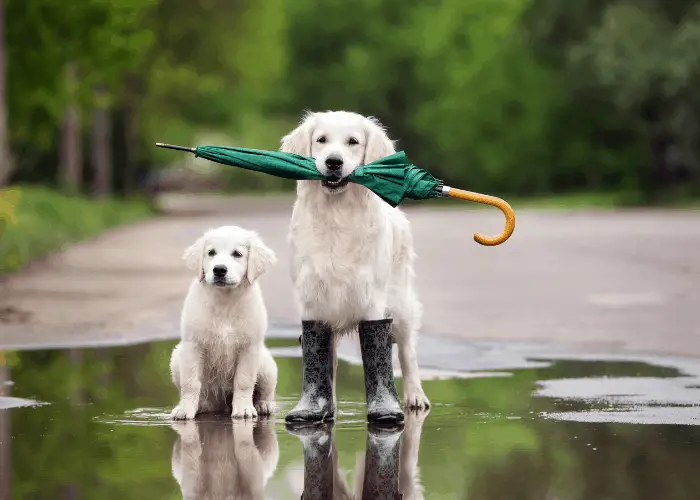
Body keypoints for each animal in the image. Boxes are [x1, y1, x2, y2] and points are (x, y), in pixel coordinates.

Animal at [170, 226, 278, 418]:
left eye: (237, 254)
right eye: (211, 253)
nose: (219, 269)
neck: (225, 300)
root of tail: (219, 406)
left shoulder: (249, 347)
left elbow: (244, 381)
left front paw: (243, 409)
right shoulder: (192, 345)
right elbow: (190, 383)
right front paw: (184, 410)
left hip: (267, 365)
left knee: (266, 391)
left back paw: (264, 405)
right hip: (177, 357)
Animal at [282, 110, 430, 422]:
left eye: (353, 142)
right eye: (321, 140)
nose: (333, 162)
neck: (337, 215)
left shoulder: (371, 298)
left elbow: (379, 350)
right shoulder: (312, 298)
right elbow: (320, 357)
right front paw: (316, 407)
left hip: (401, 303)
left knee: (407, 352)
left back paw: (415, 397)